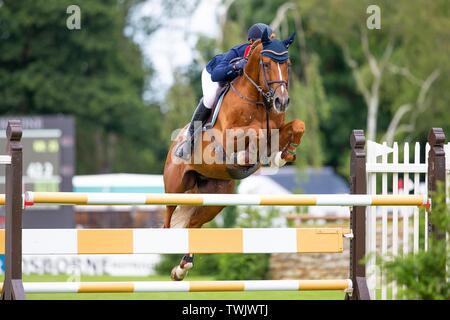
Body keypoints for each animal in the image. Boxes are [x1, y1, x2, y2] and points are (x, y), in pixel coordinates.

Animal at [163, 30, 306, 280]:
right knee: (168, 218)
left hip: (215, 198)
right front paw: (245, 158)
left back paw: (182, 267)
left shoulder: (277, 130)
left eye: (287, 64)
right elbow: (255, 133)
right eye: (266, 64)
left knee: (192, 224)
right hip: (175, 187)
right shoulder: (228, 137)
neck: (258, 98)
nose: (282, 101)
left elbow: (297, 125)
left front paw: (283, 155)